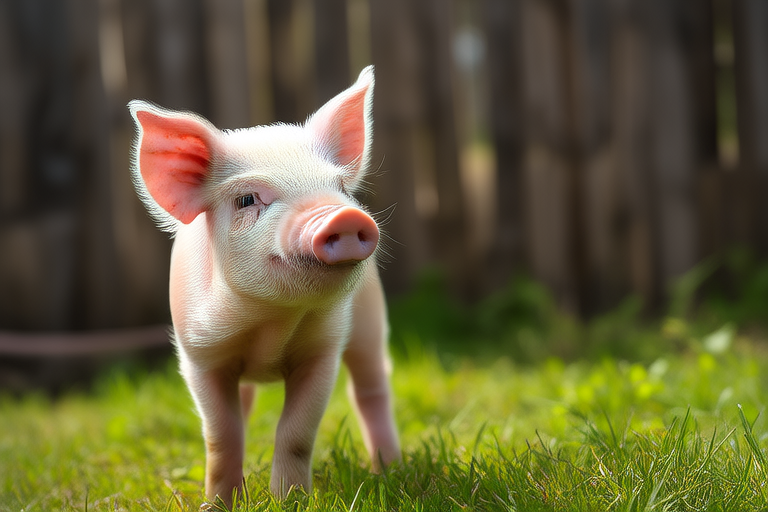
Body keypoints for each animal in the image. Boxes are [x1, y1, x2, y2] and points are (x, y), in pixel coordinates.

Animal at [128, 66, 400, 506]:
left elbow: (296, 433)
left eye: (340, 188)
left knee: (371, 387)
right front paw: (217, 505)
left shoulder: (323, 350)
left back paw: (390, 470)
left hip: (371, 320)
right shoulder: (199, 356)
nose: (342, 215)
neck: (270, 323)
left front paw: (291, 501)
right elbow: (222, 435)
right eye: (247, 200)